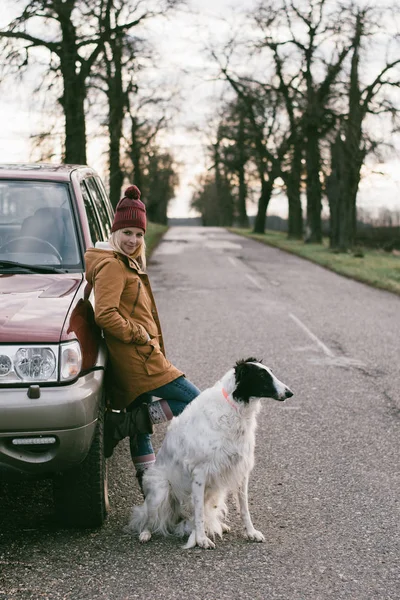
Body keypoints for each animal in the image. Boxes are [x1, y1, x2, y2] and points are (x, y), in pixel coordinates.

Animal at [126, 356, 294, 548]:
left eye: (270, 372)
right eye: (262, 375)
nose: (290, 393)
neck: (234, 406)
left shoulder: (241, 470)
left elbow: (244, 509)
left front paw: (251, 533)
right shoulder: (199, 473)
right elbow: (199, 513)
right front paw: (201, 540)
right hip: (159, 492)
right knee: (148, 518)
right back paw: (145, 533)